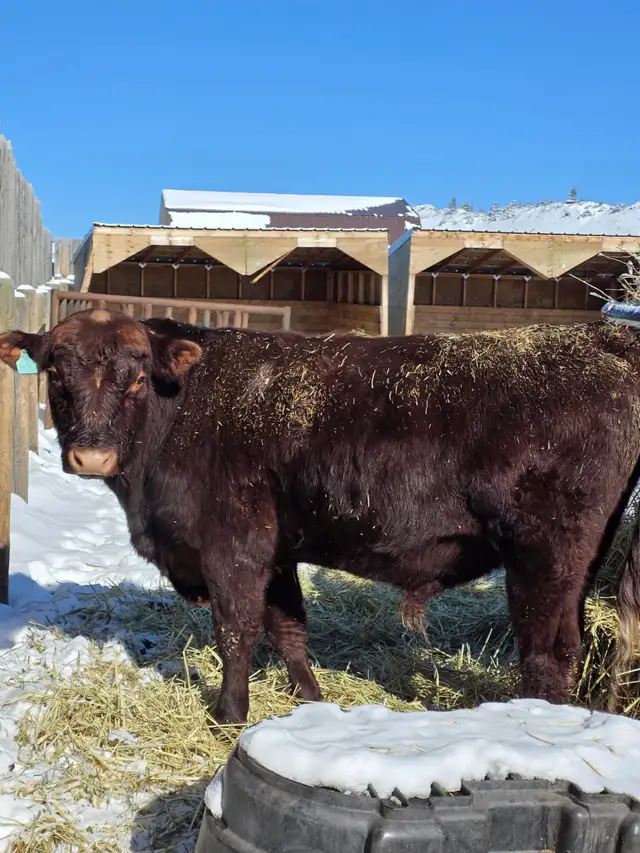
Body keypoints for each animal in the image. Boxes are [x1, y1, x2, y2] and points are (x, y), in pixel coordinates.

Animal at [2, 309, 640, 724]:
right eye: (55, 372)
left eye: (136, 377)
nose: (92, 455)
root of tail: (603, 337)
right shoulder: (276, 550)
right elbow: (288, 628)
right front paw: (311, 700)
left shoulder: (232, 548)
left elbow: (236, 631)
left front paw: (229, 715)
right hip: (578, 562)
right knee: (574, 644)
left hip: (544, 555)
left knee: (546, 652)